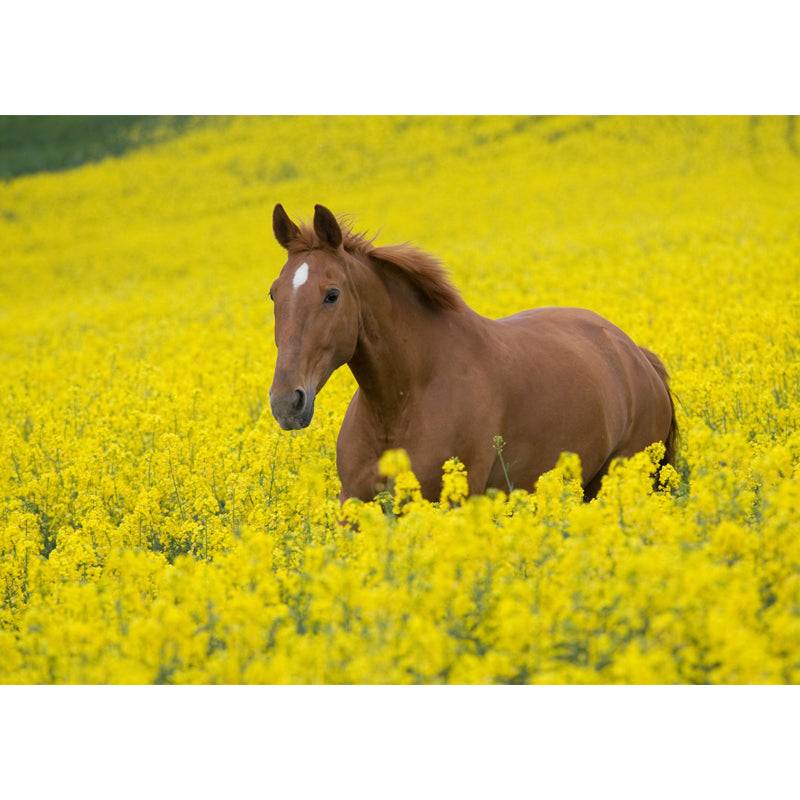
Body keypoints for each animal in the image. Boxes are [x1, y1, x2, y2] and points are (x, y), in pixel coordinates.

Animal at [268, 204, 678, 503]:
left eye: (332, 294)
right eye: (274, 293)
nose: (287, 402)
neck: (401, 403)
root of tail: (636, 355)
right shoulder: (353, 504)